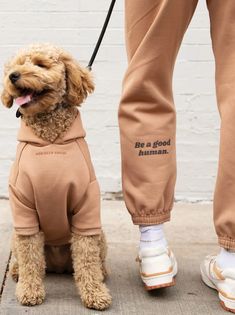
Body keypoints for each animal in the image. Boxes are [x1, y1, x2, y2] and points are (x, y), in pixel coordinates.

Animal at [0, 43, 112, 312]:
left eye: (40, 64)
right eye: (15, 66)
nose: (13, 76)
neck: (49, 138)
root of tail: (59, 266)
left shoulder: (86, 204)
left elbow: (86, 259)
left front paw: (94, 293)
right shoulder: (23, 206)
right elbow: (30, 259)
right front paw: (29, 291)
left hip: (100, 235)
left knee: (93, 260)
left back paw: (102, 273)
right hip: (15, 238)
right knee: (30, 261)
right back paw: (17, 272)